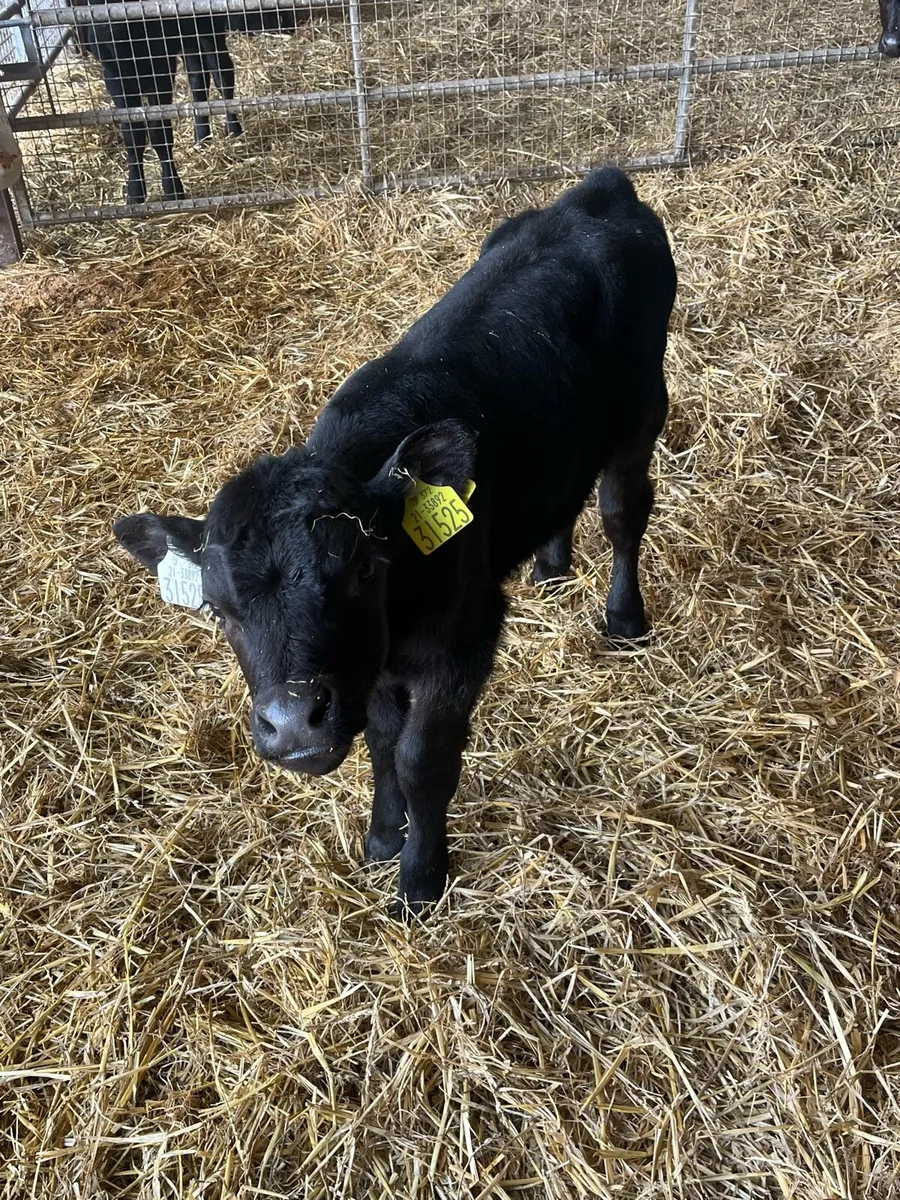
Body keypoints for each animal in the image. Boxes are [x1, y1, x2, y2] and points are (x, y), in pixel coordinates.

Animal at [113, 167, 677, 917]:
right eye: (220, 609)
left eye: (361, 569)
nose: (295, 724)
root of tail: (599, 190)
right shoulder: (371, 668)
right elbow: (381, 742)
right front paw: (384, 837)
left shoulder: (461, 648)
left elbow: (420, 759)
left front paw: (421, 876)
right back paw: (551, 567)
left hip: (642, 414)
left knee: (622, 512)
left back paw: (625, 618)